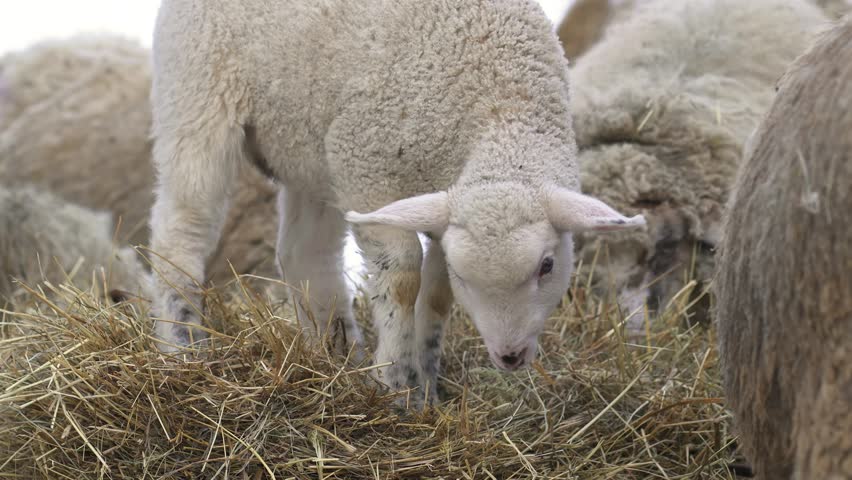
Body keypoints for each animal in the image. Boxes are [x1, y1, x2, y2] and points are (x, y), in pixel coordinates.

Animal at [147, 0, 644, 404]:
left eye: (547, 265)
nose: (510, 356)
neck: (502, 105)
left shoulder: (440, 203)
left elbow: (437, 297)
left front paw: (426, 389)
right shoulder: (364, 168)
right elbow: (404, 279)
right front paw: (394, 382)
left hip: (308, 147)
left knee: (305, 255)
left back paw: (334, 354)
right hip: (198, 90)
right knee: (181, 231)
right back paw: (184, 346)